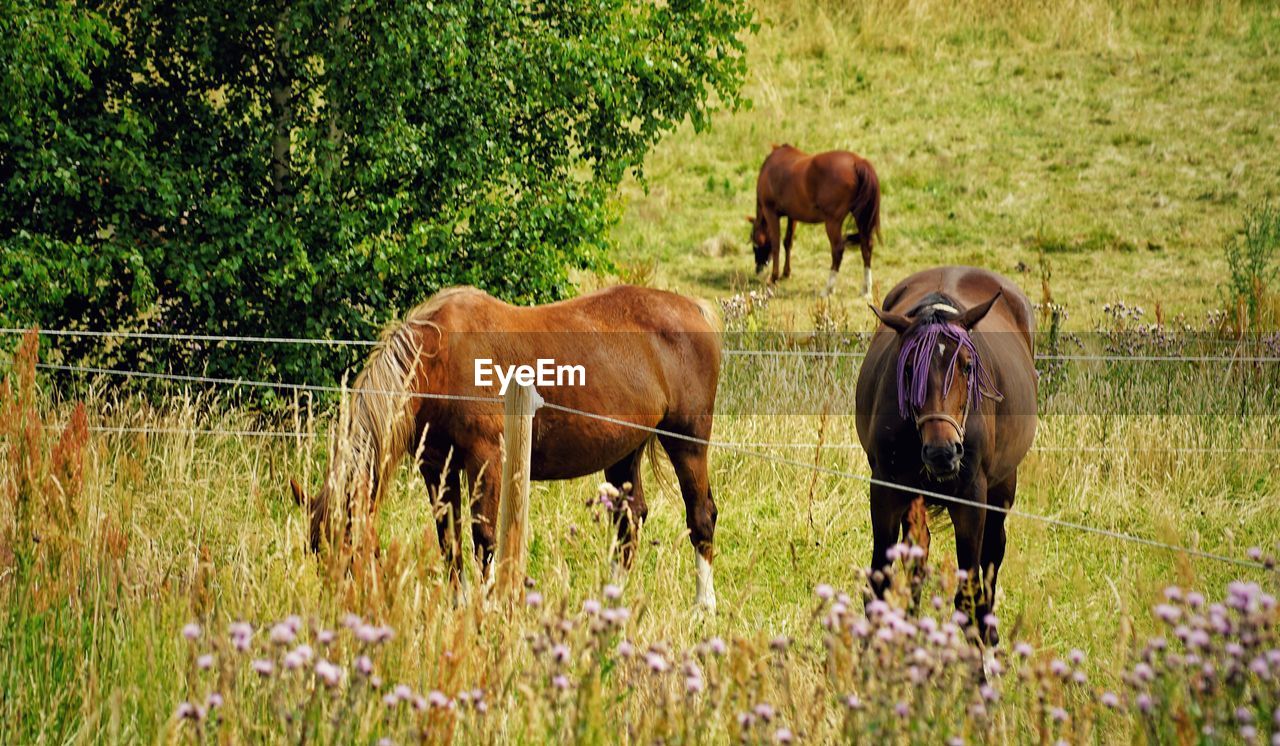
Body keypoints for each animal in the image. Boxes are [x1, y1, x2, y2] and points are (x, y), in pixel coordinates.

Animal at [293, 286, 727, 614]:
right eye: (315, 550)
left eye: (349, 549)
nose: (336, 615)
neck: (440, 359)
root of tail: (694, 309)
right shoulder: (436, 466)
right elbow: (448, 539)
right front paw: (459, 604)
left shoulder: (486, 459)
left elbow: (483, 536)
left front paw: (488, 606)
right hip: (624, 452)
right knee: (630, 521)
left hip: (687, 442)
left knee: (701, 516)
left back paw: (703, 607)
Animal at [747, 143, 880, 298]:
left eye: (755, 243)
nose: (758, 268)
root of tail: (857, 162)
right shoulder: (793, 216)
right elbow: (787, 242)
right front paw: (786, 273)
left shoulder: (771, 212)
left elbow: (776, 244)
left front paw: (773, 277)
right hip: (861, 218)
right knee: (866, 247)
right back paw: (866, 289)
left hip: (833, 222)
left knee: (838, 250)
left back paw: (828, 289)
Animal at [855, 266, 1034, 644]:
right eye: (908, 368)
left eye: (967, 366)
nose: (942, 452)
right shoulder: (886, 490)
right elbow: (881, 580)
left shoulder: (972, 497)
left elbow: (968, 589)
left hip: (1002, 487)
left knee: (993, 551)